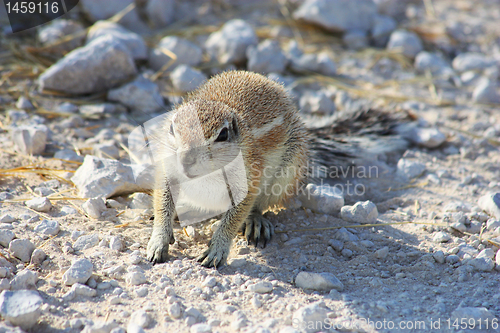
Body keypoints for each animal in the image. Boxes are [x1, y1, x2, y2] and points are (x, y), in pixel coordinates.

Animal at [146, 70, 408, 268]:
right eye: (173, 129)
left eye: (222, 135)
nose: (186, 158)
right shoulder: (168, 171)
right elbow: (164, 201)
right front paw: (158, 240)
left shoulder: (247, 179)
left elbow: (233, 218)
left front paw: (217, 249)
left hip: (286, 173)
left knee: (260, 206)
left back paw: (256, 221)